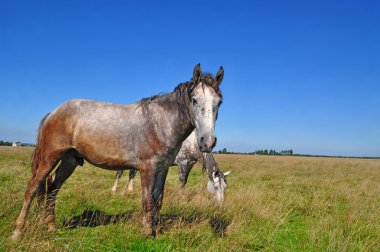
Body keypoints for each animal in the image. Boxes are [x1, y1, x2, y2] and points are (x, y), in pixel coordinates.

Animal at [11, 64, 224, 239]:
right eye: (194, 100)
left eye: (219, 103)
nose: (208, 141)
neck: (161, 123)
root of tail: (53, 113)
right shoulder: (148, 168)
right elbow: (147, 200)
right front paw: (147, 233)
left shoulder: (163, 169)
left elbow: (158, 200)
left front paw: (158, 230)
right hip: (50, 156)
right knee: (33, 187)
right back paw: (18, 231)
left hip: (69, 160)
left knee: (54, 188)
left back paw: (51, 227)